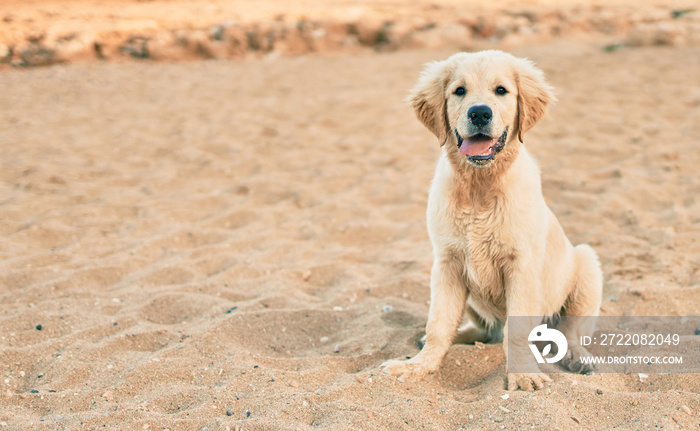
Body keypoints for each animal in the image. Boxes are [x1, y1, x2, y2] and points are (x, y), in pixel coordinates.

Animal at [380, 50, 604, 392]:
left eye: (501, 91)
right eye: (459, 91)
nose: (479, 113)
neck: (479, 188)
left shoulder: (521, 264)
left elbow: (518, 330)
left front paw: (523, 375)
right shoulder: (447, 263)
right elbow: (438, 325)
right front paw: (419, 366)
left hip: (587, 264)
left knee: (569, 332)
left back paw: (578, 357)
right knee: (484, 331)